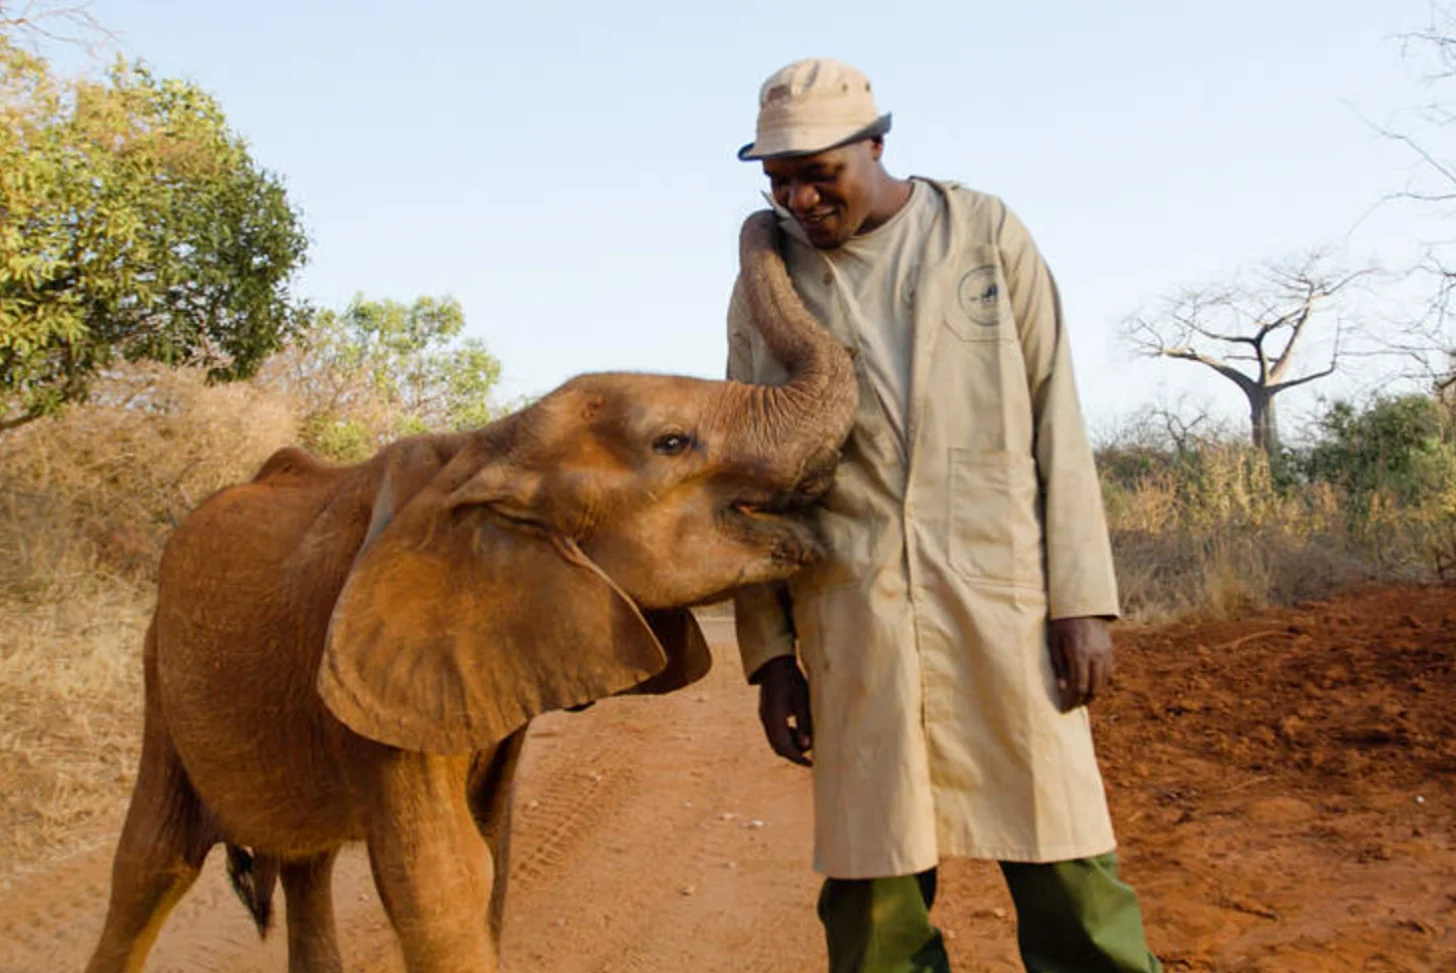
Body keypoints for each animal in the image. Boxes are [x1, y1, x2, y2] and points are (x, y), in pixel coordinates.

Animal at [82, 211, 857, 973]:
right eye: (671, 442)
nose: (774, 207)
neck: (485, 447)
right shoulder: (382, 679)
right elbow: (445, 881)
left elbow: (493, 857)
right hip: (157, 670)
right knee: (154, 862)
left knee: (304, 862)